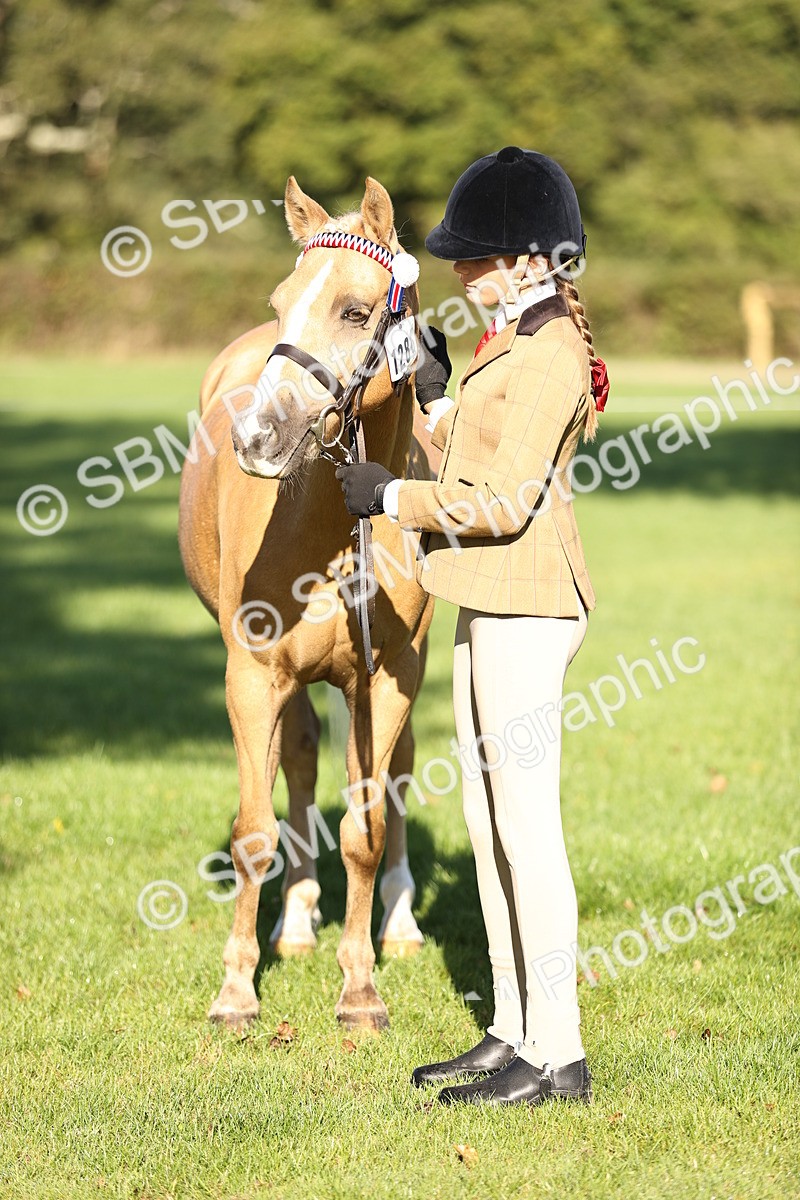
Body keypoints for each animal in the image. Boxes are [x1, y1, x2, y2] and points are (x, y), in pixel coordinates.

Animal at [178, 175, 439, 1031]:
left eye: (356, 311)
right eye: (281, 299)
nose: (257, 438)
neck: (326, 523)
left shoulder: (386, 678)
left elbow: (366, 827)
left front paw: (360, 988)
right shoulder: (253, 675)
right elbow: (254, 831)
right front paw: (235, 992)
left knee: (396, 775)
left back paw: (400, 923)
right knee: (293, 761)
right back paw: (292, 923)